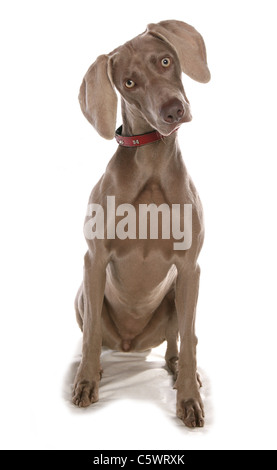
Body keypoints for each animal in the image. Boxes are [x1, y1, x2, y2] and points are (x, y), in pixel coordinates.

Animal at [72, 20, 210, 428]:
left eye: (165, 60)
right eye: (129, 83)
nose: (173, 110)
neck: (150, 166)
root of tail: (131, 344)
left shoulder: (190, 267)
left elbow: (190, 338)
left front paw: (189, 400)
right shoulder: (94, 259)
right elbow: (90, 338)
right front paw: (86, 382)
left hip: (176, 295)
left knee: (178, 341)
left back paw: (178, 368)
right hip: (83, 297)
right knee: (92, 335)